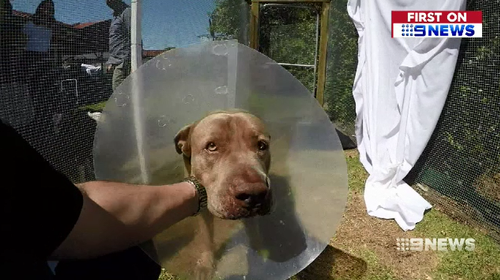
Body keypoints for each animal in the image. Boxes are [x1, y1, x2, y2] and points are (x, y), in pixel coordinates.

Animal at [174, 108, 274, 278]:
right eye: (211, 146)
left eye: (262, 145)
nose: (254, 193)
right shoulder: (203, 210)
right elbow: (206, 236)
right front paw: (206, 265)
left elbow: (254, 229)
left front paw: (259, 255)